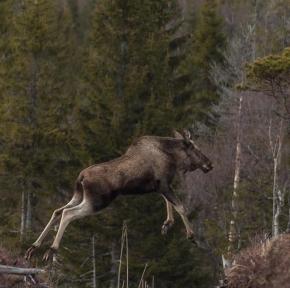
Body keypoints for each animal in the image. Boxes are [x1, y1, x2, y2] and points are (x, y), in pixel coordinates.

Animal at [25, 129, 213, 260]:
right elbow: (181, 207)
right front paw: (191, 235)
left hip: (78, 196)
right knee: (67, 213)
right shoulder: (164, 184)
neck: (172, 157)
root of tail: (81, 177)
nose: (209, 164)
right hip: (97, 201)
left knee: (57, 211)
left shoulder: (159, 186)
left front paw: (167, 224)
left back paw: (34, 247)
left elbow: (169, 204)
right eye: (196, 149)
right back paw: (52, 249)